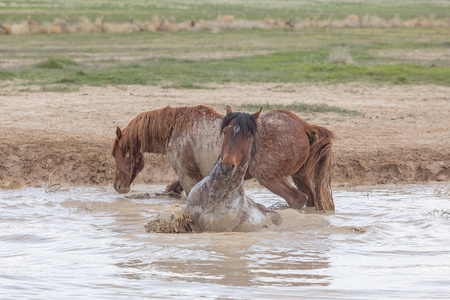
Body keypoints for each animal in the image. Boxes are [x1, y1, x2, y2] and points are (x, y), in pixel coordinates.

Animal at [112, 105, 334, 211]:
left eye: (114, 154)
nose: (117, 186)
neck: (176, 130)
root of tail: (305, 126)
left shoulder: (187, 175)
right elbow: (171, 188)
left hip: (270, 178)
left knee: (297, 199)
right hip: (300, 176)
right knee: (310, 199)